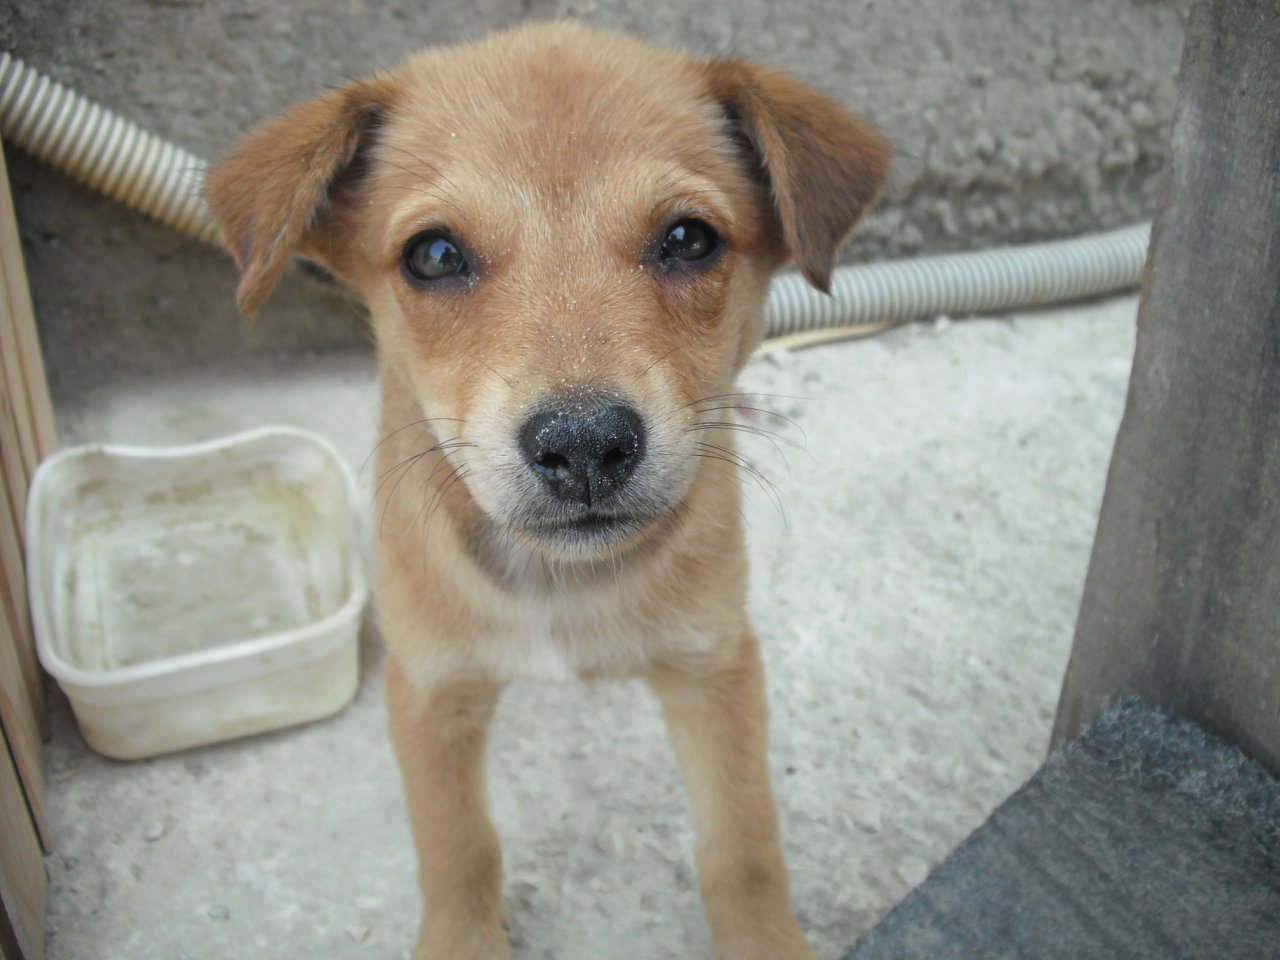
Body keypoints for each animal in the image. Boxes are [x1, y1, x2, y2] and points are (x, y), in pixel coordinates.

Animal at [207, 19, 888, 959]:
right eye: (435, 255)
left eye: (689, 239)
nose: (586, 443)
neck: (558, 579)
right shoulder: (431, 690)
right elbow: (458, 849)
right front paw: (463, 937)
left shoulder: (715, 665)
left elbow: (743, 846)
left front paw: (766, 939)